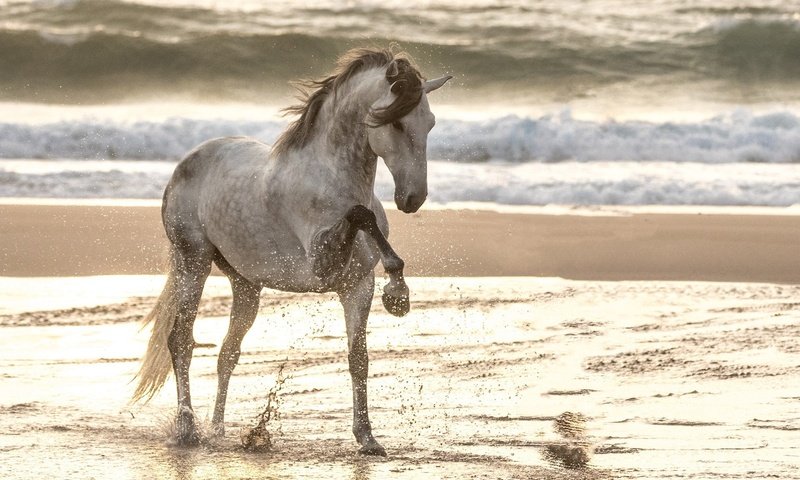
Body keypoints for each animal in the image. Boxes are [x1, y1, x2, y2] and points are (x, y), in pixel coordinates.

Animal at [134, 48, 454, 458]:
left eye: (430, 123)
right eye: (396, 123)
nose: (412, 199)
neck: (328, 179)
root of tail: (186, 163)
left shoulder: (356, 287)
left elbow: (358, 359)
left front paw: (367, 439)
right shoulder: (322, 265)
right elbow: (360, 215)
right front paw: (398, 293)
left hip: (246, 284)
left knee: (228, 353)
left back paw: (218, 430)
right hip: (193, 262)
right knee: (181, 341)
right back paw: (188, 430)